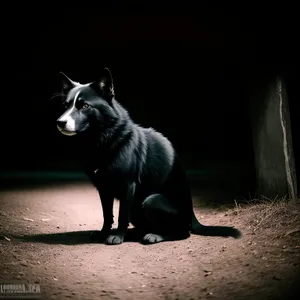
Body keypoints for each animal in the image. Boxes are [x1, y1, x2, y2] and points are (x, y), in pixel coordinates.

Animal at [55, 67, 240, 244]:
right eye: (65, 106)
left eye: (84, 106)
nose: (60, 122)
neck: (102, 138)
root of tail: (193, 216)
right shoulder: (103, 188)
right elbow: (107, 215)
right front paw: (104, 233)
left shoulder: (128, 186)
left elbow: (121, 214)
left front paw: (117, 237)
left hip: (152, 201)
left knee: (182, 232)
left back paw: (155, 236)